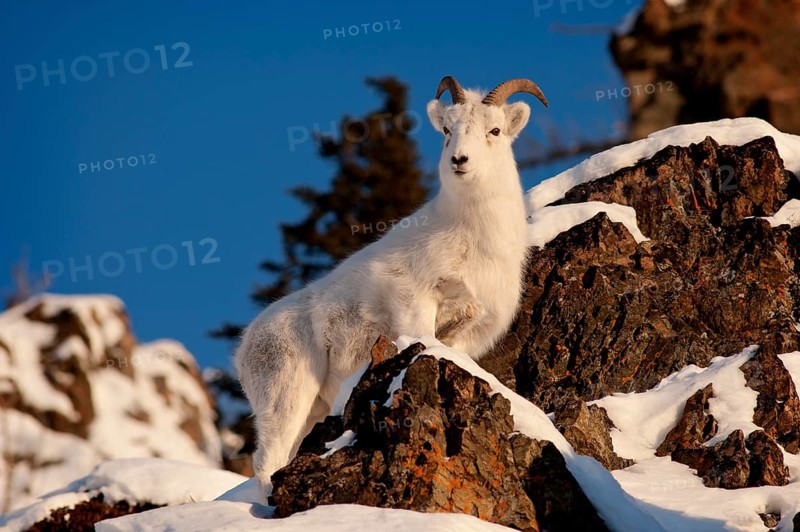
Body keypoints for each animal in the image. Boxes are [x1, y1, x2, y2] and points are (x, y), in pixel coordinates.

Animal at [236, 76, 549, 490]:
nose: (460, 160)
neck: (472, 235)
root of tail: (244, 350)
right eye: (447, 130)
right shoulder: (413, 303)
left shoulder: (469, 329)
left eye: (494, 130)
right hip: (286, 399)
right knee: (267, 460)